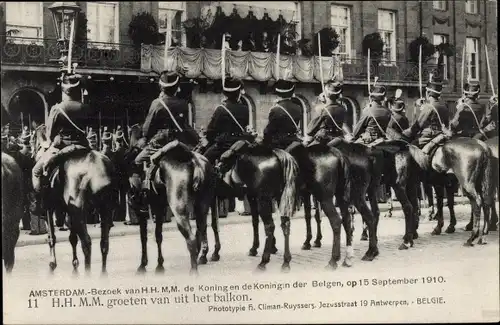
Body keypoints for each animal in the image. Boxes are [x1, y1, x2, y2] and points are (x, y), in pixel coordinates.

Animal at [32, 124, 118, 274]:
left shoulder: (49, 208)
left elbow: (51, 237)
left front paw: (52, 263)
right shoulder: (69, 212)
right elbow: (72, 238)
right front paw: (75, 264)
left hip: (80, 212)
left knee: (87, 243)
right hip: (105, 210)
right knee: (104, 243)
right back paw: (103, 274)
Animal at [218, 140, 296, 270]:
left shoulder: (254, 198)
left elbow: (255, 222)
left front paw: (255, 249)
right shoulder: (257, 198)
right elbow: (256, 221)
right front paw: (271, 247)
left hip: (263, 200)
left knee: (270, 226)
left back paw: (263, 261)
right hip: (280, 198)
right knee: (285, 224)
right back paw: (286, 262)